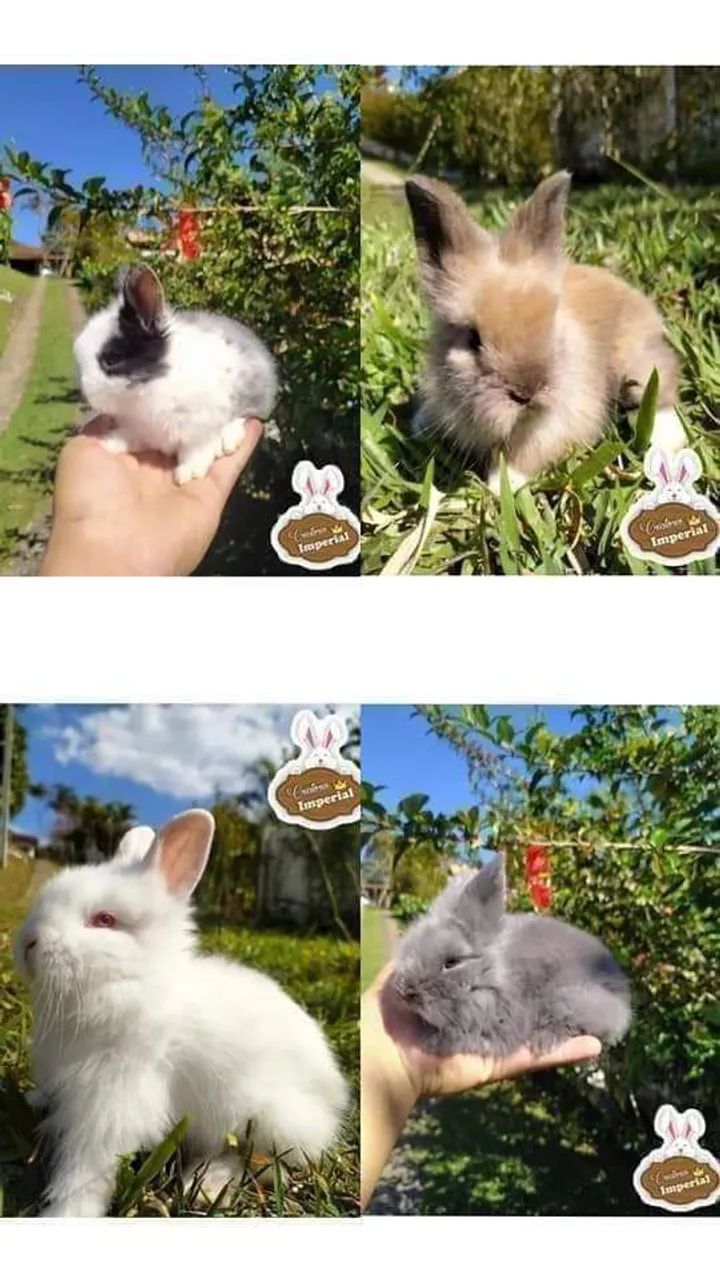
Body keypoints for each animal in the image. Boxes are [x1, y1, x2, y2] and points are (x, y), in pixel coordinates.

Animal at [13, 809, 348, 1217]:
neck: (129, 984)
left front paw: (65, 1215)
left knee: (261, 1161)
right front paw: (32, 1100)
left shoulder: (115, 1101)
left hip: (266, 1119)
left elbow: (86, 1170)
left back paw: (205, 1185)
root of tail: (335, 1099)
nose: (28, 942)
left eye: (105, 920)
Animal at [74, 264, 278, 484]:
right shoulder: (141, 429)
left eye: (112, 359)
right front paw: (111, 442)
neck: (149, 386)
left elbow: (195, 449)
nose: (86, 394)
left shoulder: (200, 428)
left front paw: (189, 473)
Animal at [389, 855, 631, 1058]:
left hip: (571, 998)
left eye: (452, 962)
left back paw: (543, 1041)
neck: (494, 973)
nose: (403, 991)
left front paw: (429, 1041)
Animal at [405, 171, 686, 494]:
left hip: (638, 368)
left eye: (551, 321)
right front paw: (418, 427)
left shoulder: (553, 427)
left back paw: (668, 442)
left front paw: (501, 488)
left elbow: (522, 457)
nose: (527, 393)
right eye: (473, 339)